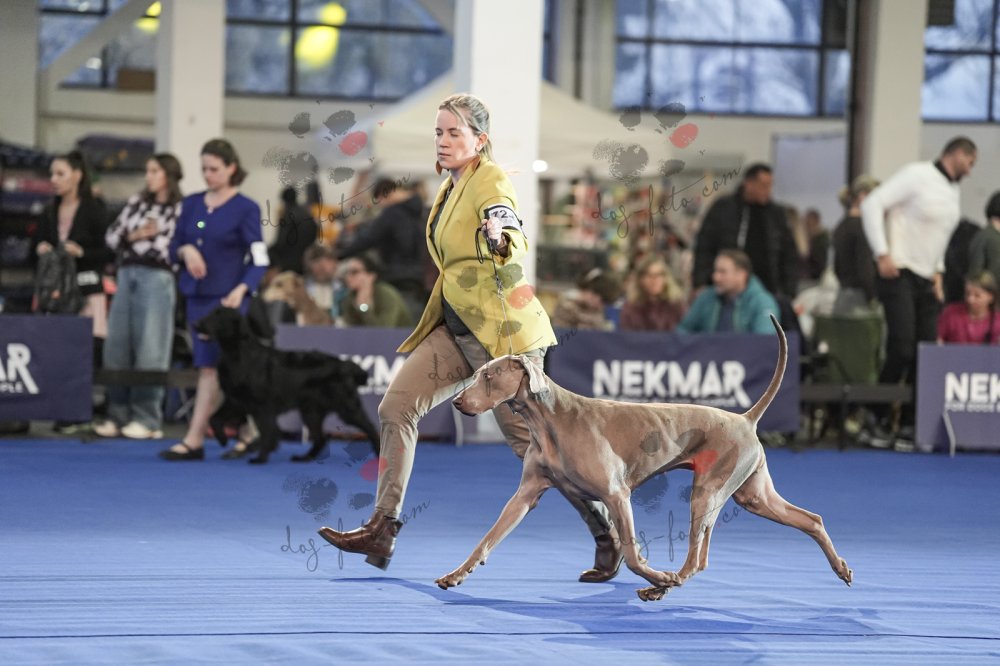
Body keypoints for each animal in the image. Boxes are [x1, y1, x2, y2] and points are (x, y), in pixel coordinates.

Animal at [195, 307, 379, 464]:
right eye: (211, 313)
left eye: (219, 316)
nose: (197, 324)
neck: (238, 354)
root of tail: (344, 365)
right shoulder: (236, 400)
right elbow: (213, 418)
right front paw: (223, 439)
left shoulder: (263, 406)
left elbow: (267, 432)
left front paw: (260, 458)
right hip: (311, 411)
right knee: (321, 438)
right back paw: (304, 457)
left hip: (346, 408)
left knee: (371, 428)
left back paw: (379, 453)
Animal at [439, 315, 852, 600]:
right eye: (478, 372)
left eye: (490, 377)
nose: (457, 402)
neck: (549, 419)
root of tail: (745, 418)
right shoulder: (526, 494)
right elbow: (487, 539)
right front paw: (456, 574)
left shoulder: (616, 494)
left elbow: (633, 553)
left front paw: (656, 576)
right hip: (753, 495)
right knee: (810, 519)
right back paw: (841, 568)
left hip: (708, 491)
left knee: (697, 559)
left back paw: (663, 586)